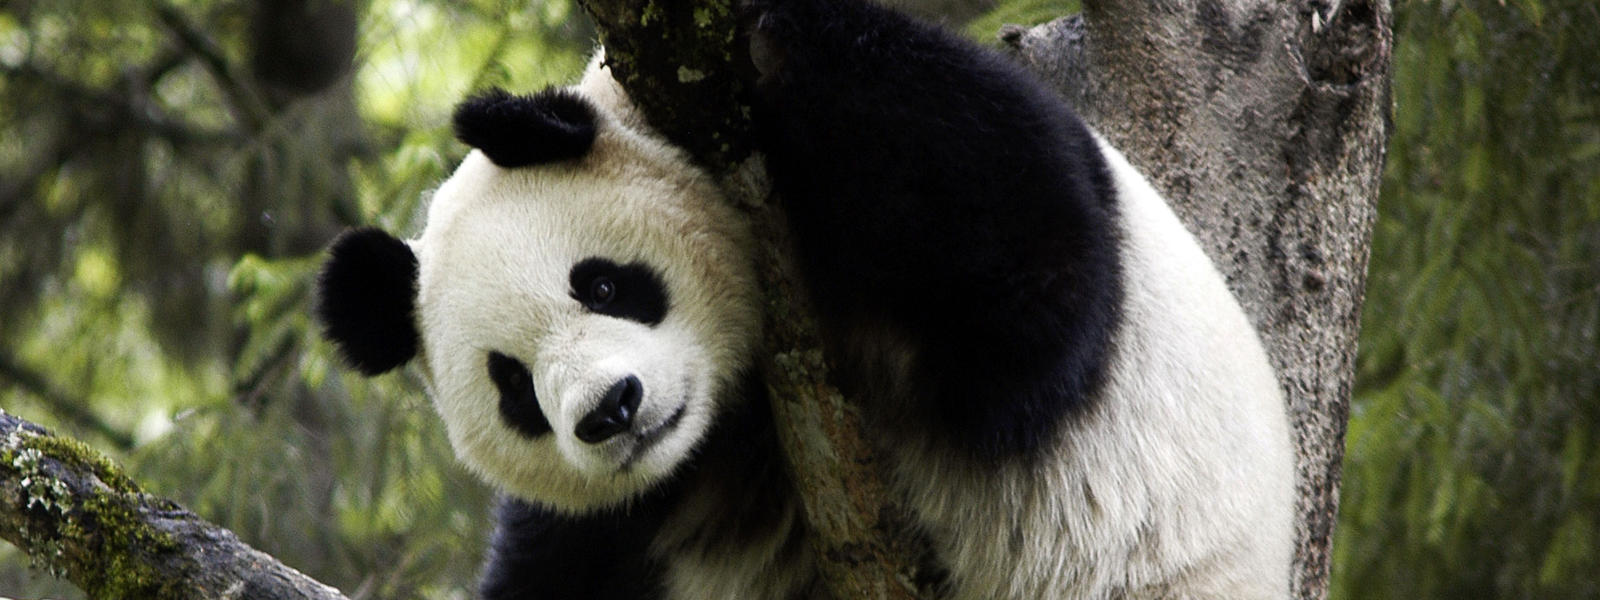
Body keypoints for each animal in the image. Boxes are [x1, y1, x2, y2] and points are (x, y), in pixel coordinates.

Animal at [315, 0, 1299, 598]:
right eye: (513, 387)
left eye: (602, 282)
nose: (610, 410)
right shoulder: (623, 520)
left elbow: (1031, 302)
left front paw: (766, 39)